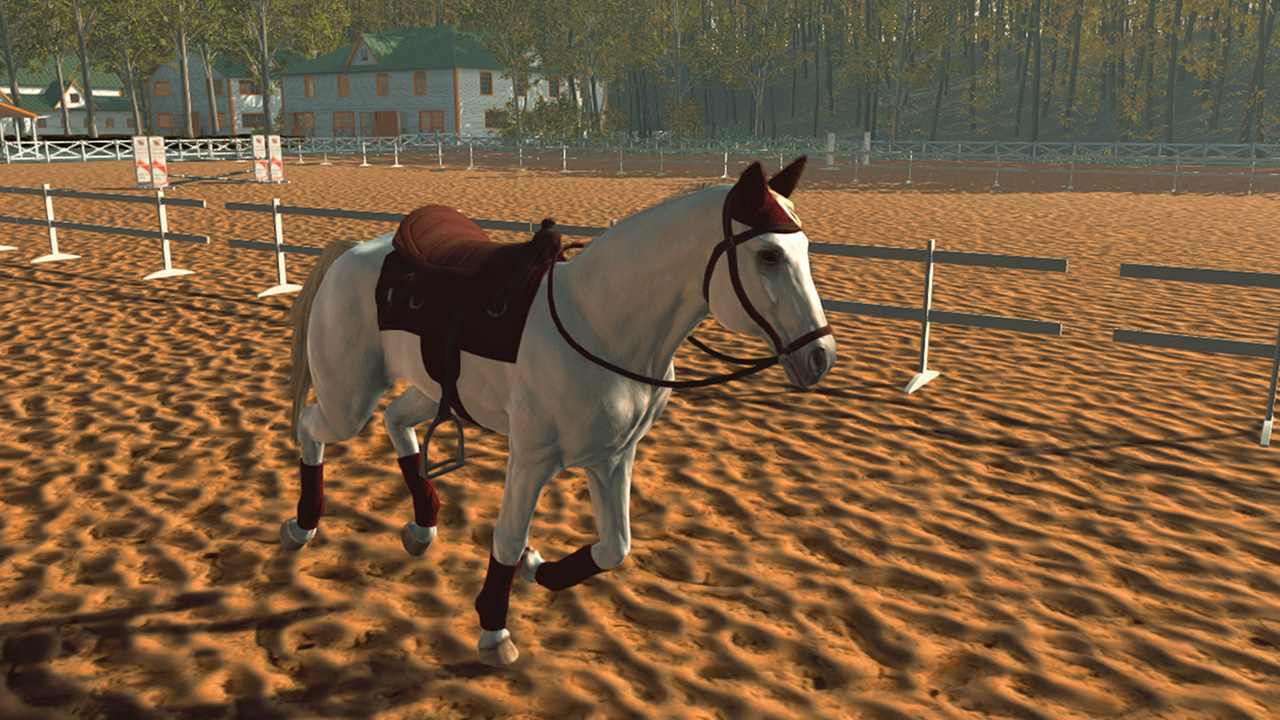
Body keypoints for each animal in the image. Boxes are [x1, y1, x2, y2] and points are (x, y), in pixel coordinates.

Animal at [280, 156, 837, 666]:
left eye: (806, 250)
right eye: (768, 255)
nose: (820, 357)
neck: (599, 324)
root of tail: (353, 251)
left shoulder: (612, 457)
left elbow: (614, 547)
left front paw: (536, 567)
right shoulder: (531, 460)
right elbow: (507, 537)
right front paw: (493, 631)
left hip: (429, 389)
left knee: (396, 420)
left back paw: (421, 527)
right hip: (348, 398)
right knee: (312, 426)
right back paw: (302, 526)